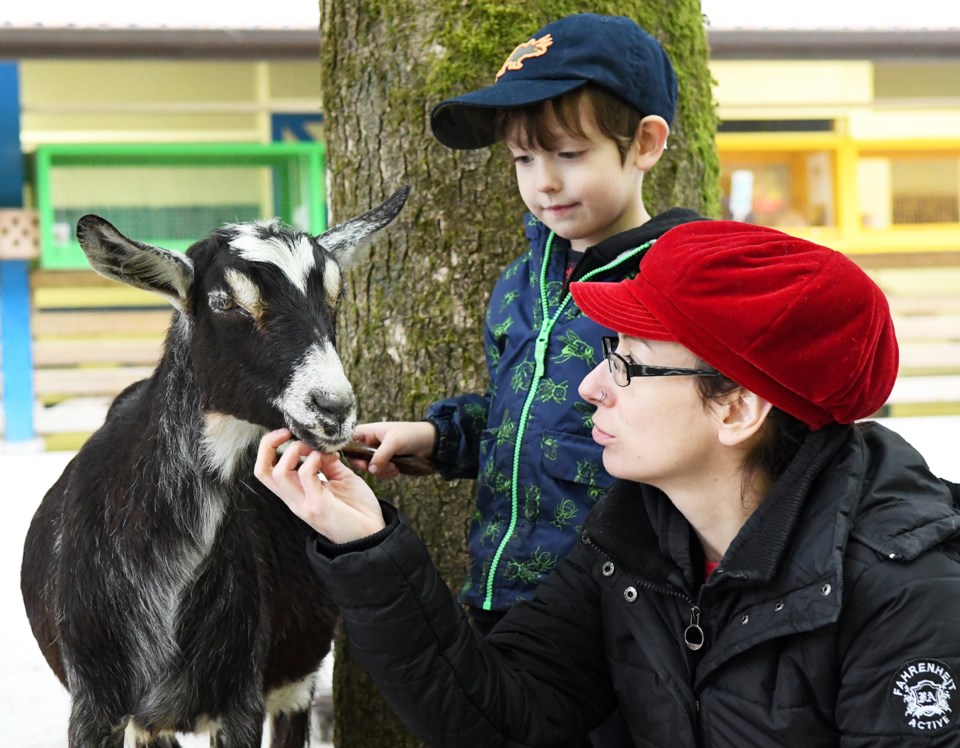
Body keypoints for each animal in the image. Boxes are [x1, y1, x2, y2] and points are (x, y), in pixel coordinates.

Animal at [19, 187, 408, 748]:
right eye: (225, 302)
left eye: (334, 297)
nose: (333, 408)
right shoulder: (93, 705)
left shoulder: (241, 699)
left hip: (295, 679)